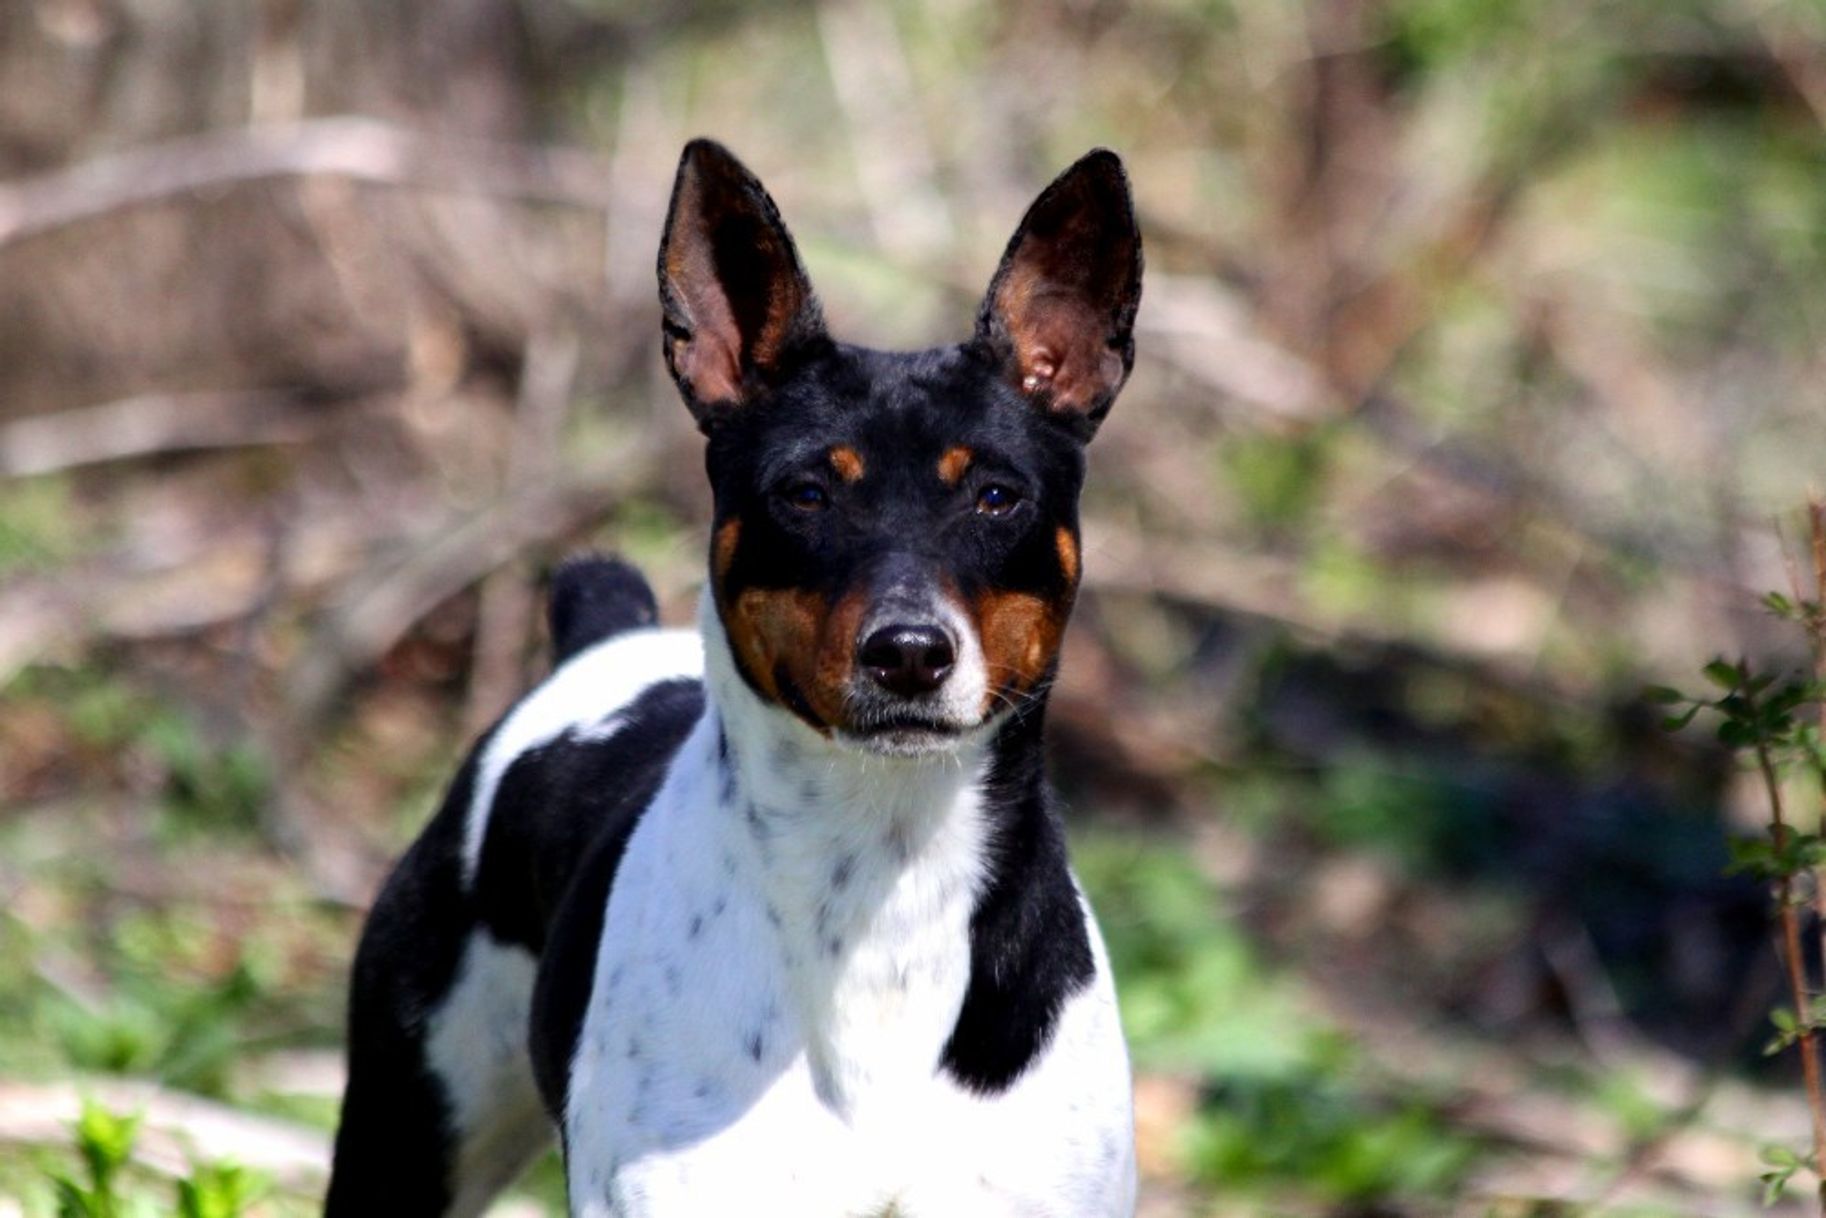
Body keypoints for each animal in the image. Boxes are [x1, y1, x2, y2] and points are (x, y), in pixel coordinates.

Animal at [328, 137, 1139, 1212]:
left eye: (997, 496)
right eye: (805, 493)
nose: (910, 653)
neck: (882, 894)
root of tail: (602, 635)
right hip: (410, 1125)